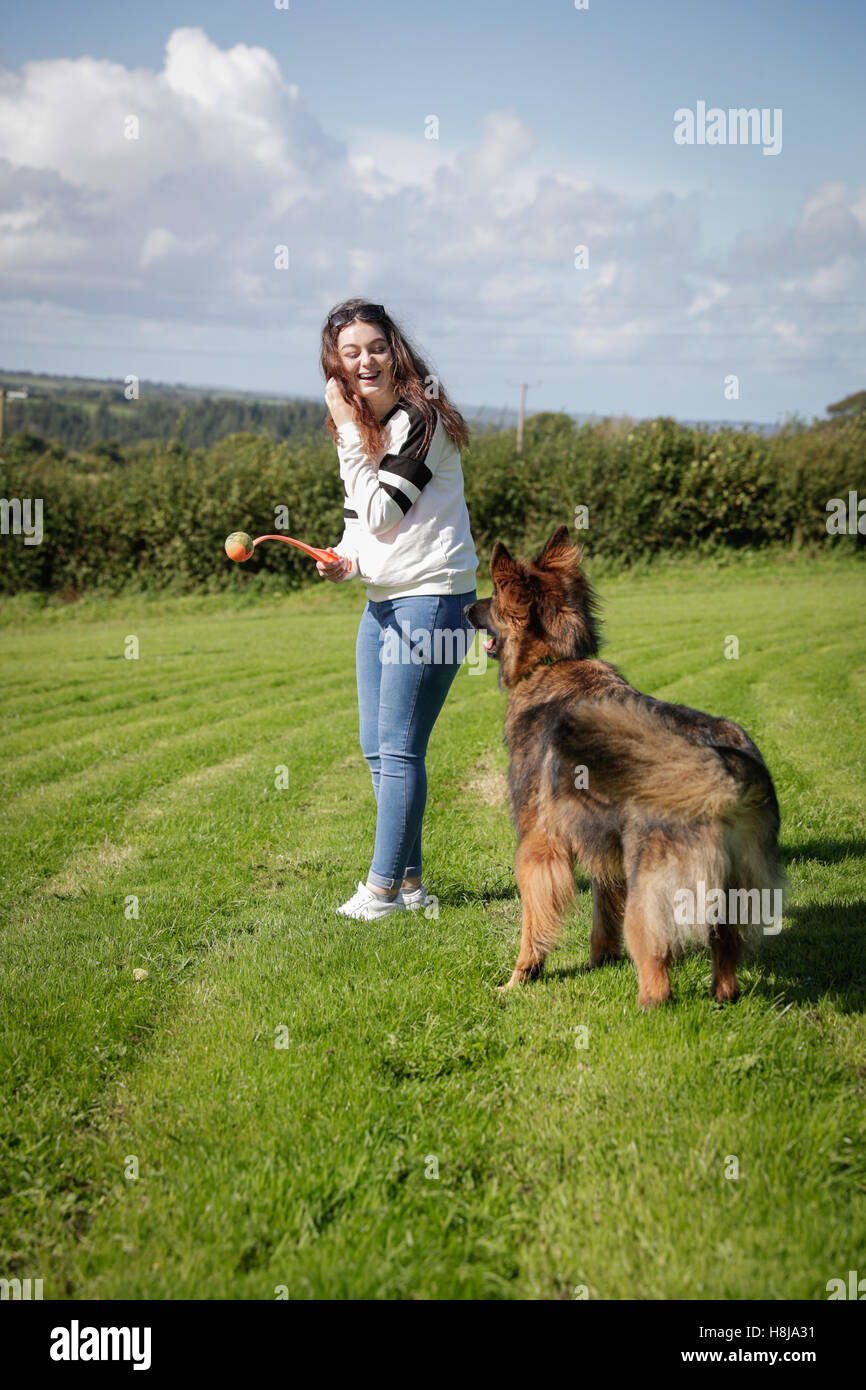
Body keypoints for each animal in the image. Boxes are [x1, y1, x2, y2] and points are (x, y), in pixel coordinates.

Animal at [467, 525, 783, 1006]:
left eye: (491, 596)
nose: (464, 608)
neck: (556, 661)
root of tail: (721, 767)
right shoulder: (605, 848)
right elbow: (602, 912)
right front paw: (600, 960)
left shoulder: (538, 846)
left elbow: (532, 925)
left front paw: (520, 978)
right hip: (727, 887)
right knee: (725, 955)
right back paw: (720, 995)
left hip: (649, 888)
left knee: (657, 971)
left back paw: (644, 1006)